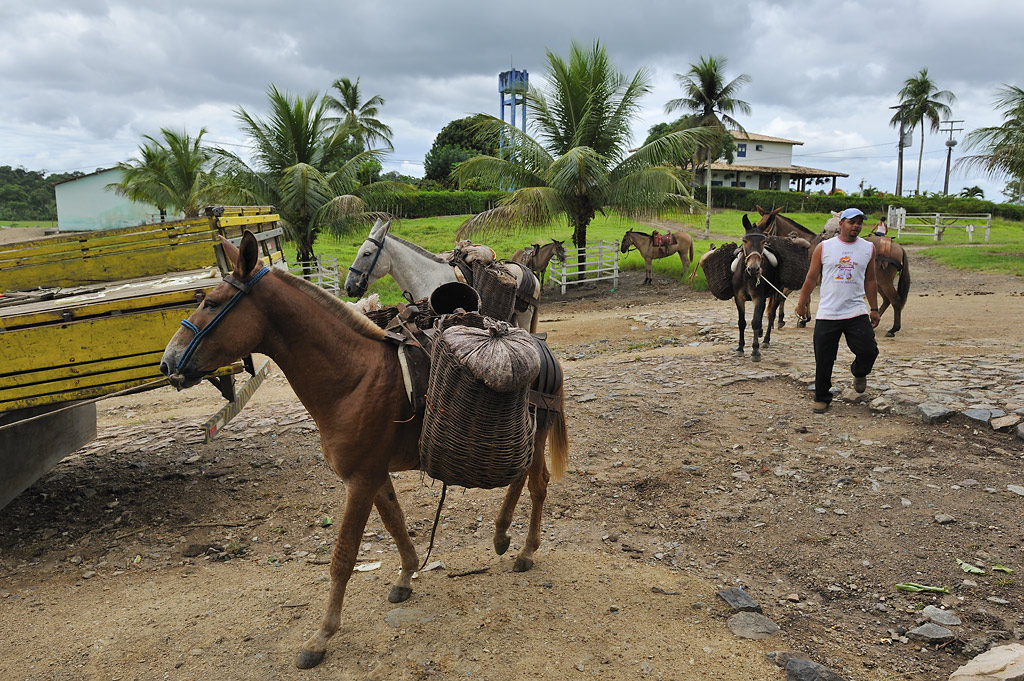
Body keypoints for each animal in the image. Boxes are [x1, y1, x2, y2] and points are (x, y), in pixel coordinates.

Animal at [163, 231, 573, 667]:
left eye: (211, 303)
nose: (167, 362)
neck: (352, 376)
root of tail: (542, 349)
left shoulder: (359, 481)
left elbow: (343, 559)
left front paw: (322, 636)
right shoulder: (374, 476)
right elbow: (395, 523)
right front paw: (407, 575)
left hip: (536, 435)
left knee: (538, 484)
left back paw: (526, 549)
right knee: (521, 479)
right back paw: (501, 535)